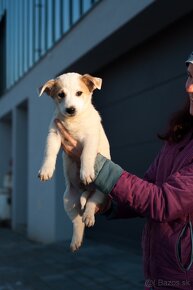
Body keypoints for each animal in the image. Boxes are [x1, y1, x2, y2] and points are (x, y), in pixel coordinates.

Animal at [38, 72, 110, 251]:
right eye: (60, 95)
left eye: (79, 93)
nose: (70, 109)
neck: (74, 122)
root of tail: (85, 191)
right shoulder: (54, 134)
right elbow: (49, 152)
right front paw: (46, 170)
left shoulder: (90, 137)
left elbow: (86, 155)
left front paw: (86, 173)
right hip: (68, 200)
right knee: (77, 221)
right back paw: (76, 241)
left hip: (101, 192)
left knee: (91, 203)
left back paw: (89, 216)